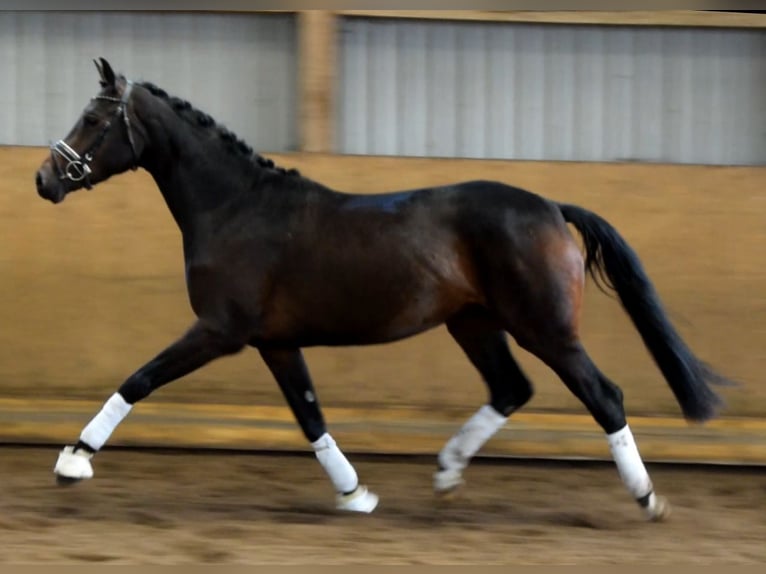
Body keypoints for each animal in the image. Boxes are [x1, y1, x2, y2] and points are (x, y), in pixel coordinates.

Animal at [37, 59, 736, 520]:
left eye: (94, 117)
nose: (45, 178)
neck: (235, 208)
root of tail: (550, 207)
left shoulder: (219, 331)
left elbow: (140, 379)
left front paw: (74, 460)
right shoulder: (274, 343)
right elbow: (311, 416)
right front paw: (355, 494)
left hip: (547, 330)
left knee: (604, 396)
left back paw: (647, 497)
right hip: (475, 323)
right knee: (511, 388)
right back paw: (448, 473)